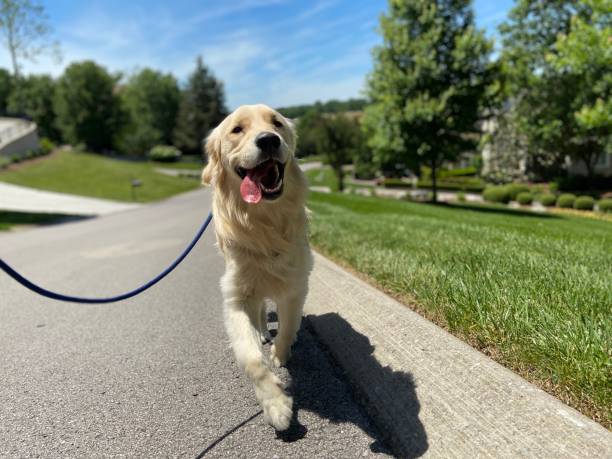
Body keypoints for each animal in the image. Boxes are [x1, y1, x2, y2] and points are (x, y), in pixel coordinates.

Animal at [203, 104, 314, 432]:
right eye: (237, 129)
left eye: (277, 123)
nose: (268, 140)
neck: (264, 221)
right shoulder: (237, 296)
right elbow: (251, 359)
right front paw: (276, 405)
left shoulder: (295, 284)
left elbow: (288, 326)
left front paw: (280, 354)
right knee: (262, 313)